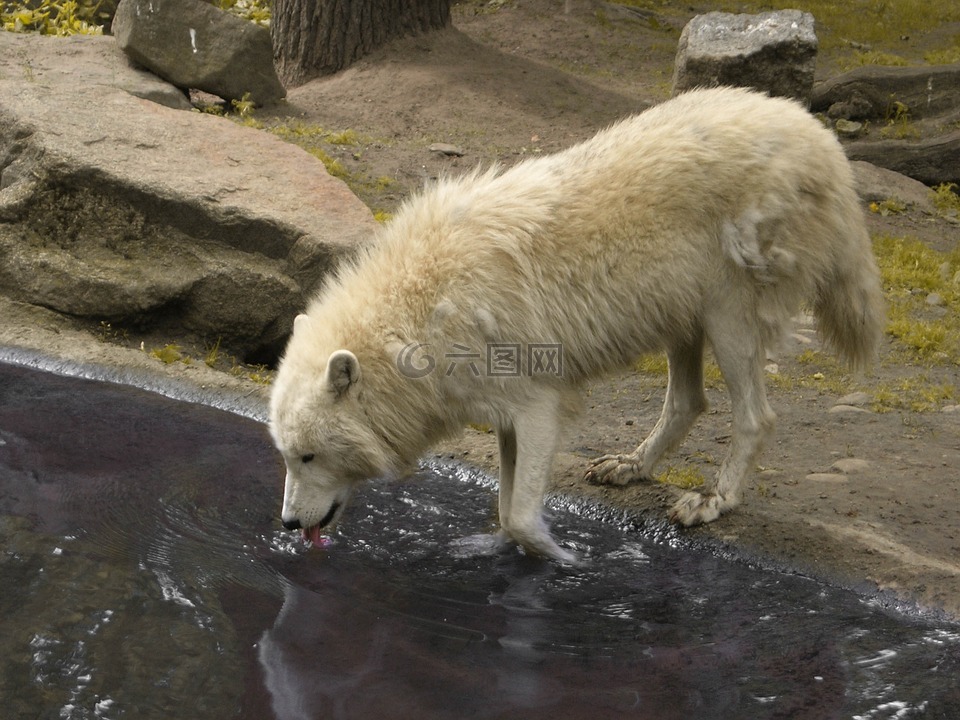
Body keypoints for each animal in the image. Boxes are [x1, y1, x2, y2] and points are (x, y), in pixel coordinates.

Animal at [270, 87, 884, 564]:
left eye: (308, 456)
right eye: (286, 455)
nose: (288, 525)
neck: (418, 312)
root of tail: (821, 139)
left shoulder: (539, 404)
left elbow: (520, 514)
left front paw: (564, 558)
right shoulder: (502, 412)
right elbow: (503, 506)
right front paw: (498, 548)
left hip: (726, 317)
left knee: (755, 416)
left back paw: (713, 501)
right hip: (679, 316)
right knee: (690, 402)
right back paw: (631, 466)